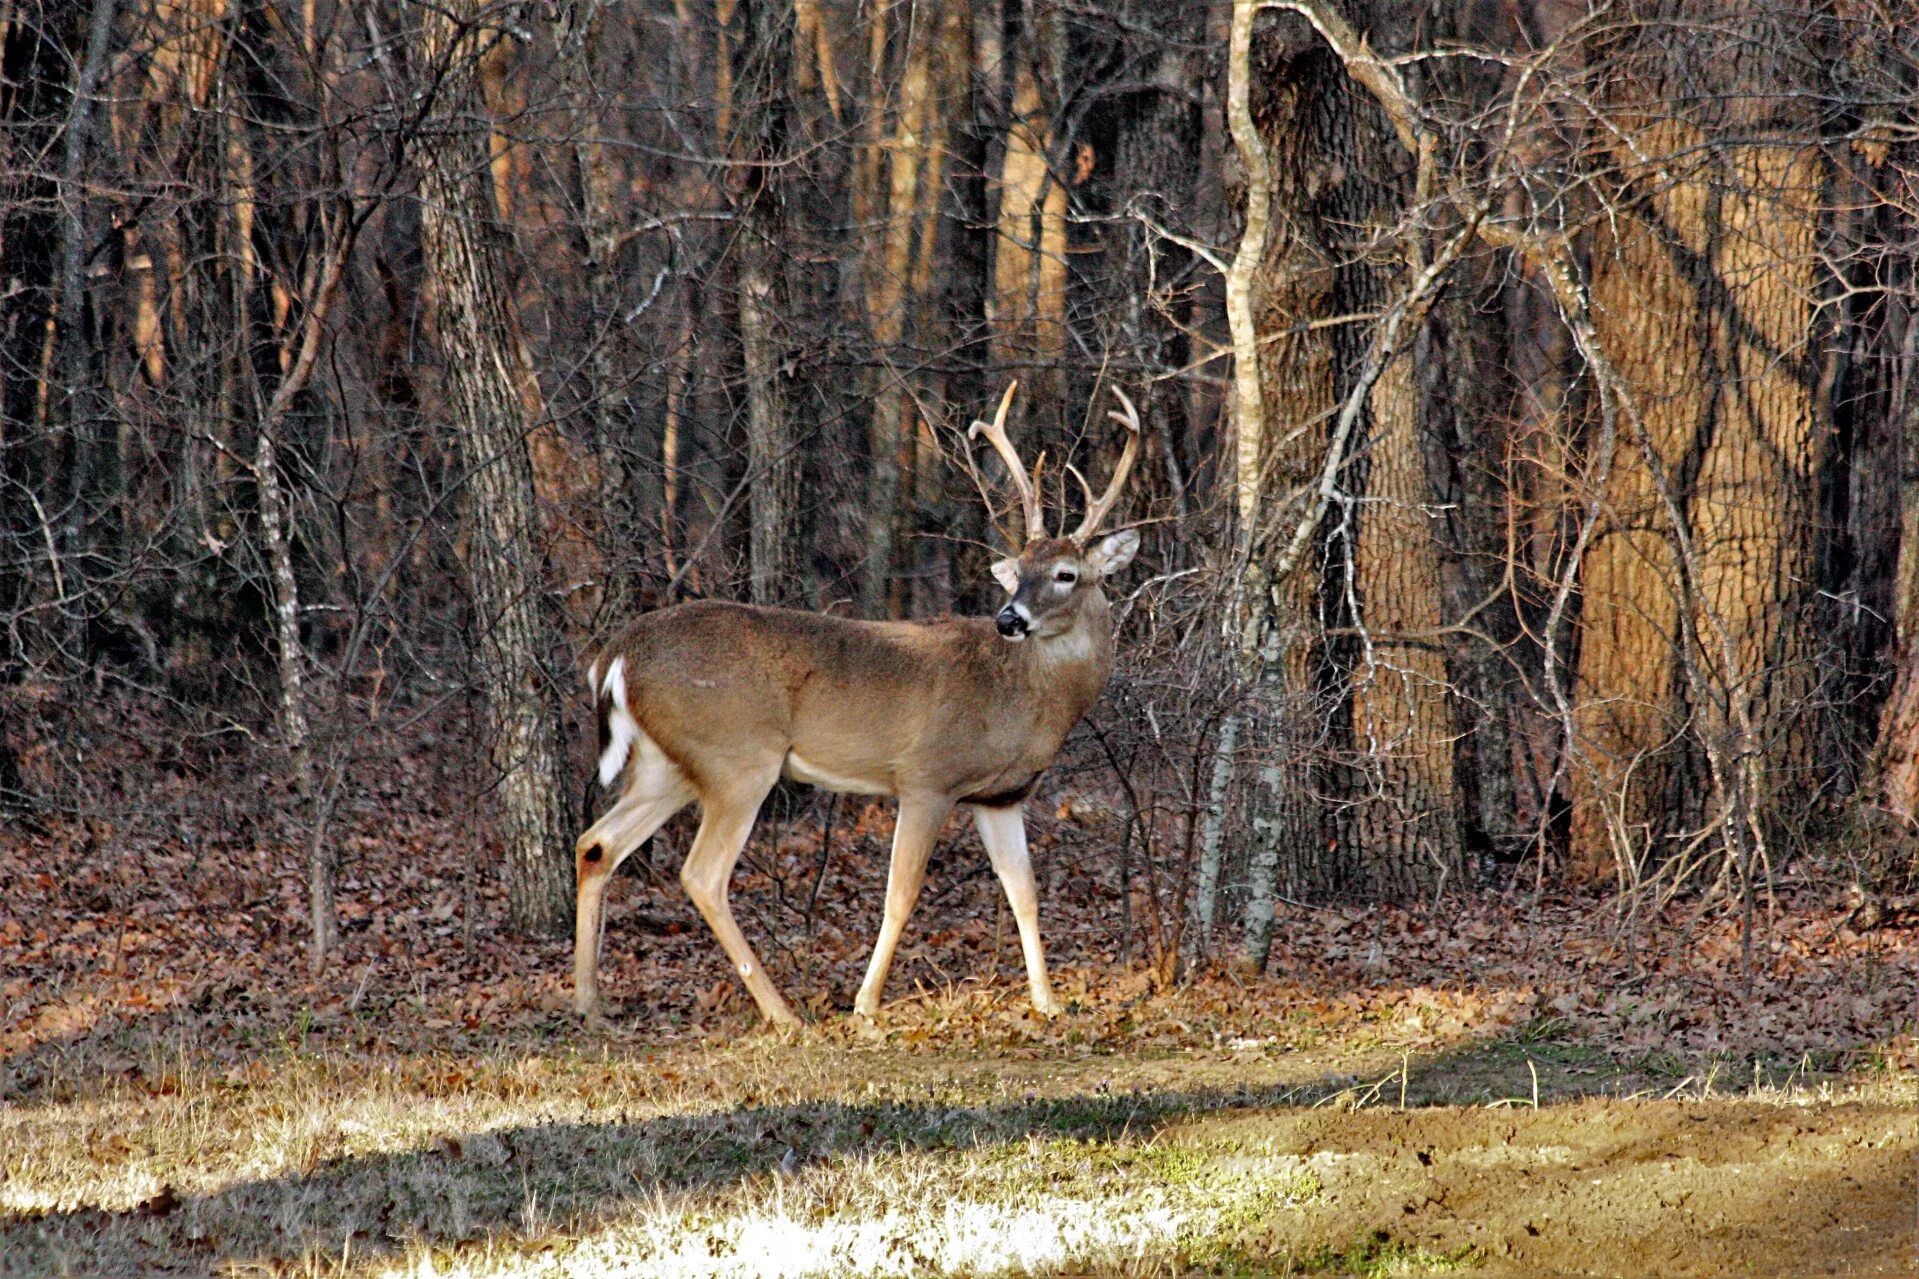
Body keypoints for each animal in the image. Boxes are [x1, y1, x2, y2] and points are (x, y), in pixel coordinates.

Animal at [568, 380, 1136, 1029]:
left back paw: (588, 1001)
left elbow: (1025, 893)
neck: (1020, 698)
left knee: (596, 844)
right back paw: (782, 1013)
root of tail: (618, 654)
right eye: (1018, 569)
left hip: (670, 764)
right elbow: (901, 894)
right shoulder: (927, 777)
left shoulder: (1000, 796)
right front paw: (866, 1004)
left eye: (1066, 573)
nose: (1009, 618)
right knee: (702, 874)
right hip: (737, 757)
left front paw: (1048, 1002)